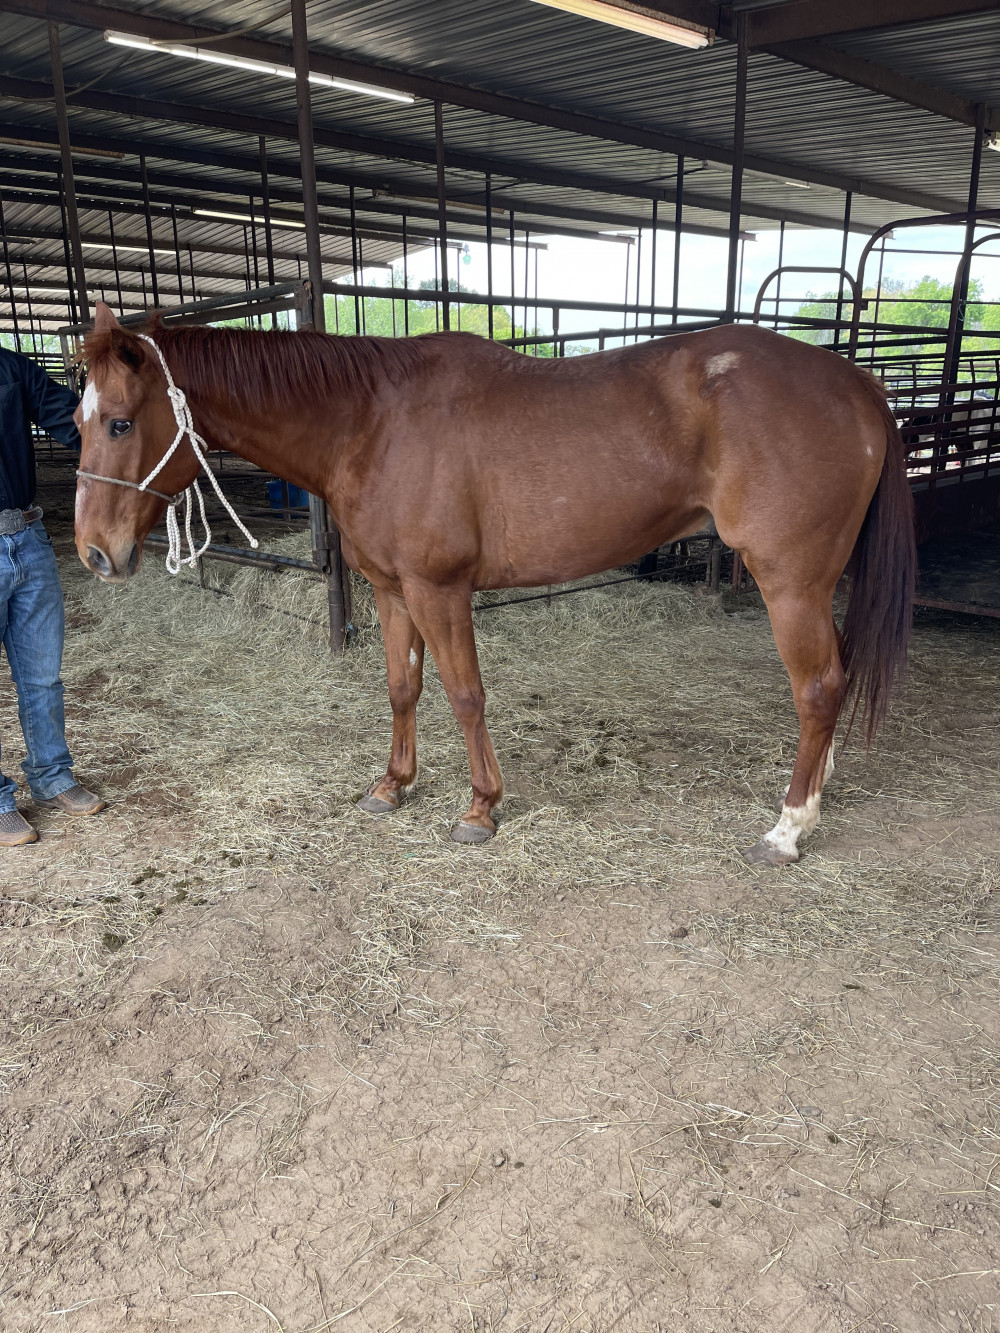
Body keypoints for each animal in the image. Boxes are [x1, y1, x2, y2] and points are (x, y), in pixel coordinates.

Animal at [74, 302, 916, 865]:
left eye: (119, 422)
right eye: (78, 420)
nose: (92, 553)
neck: (368, 421)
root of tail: (860, 386)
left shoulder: (439, 589)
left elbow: (465, 694)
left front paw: (481, 806)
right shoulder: (392, 590)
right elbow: (402, 689)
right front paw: (392, 784)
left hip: (791, 582)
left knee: (817, 687)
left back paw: (790, 824)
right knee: (833, 679)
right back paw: (818, 786)